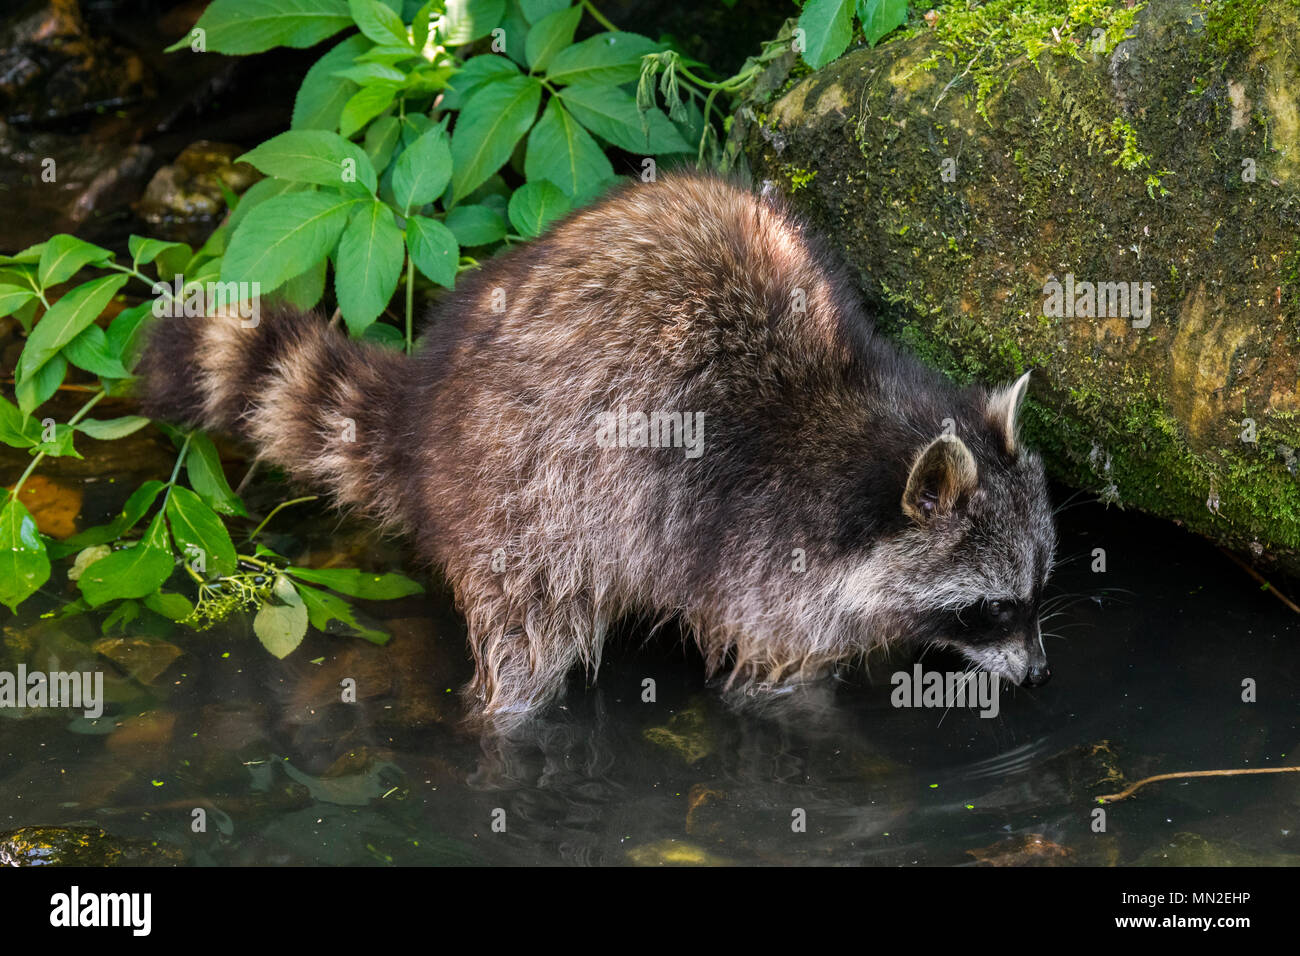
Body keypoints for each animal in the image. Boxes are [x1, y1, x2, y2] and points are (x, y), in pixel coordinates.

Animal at [139, 171, 1055, 723]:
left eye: (1038, 588)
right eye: (989, 607)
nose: (1039, 674)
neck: (858, 420)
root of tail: (428, 413)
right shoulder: (764, 558)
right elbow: (773, 682)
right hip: (524, 496)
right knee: (527, 637)